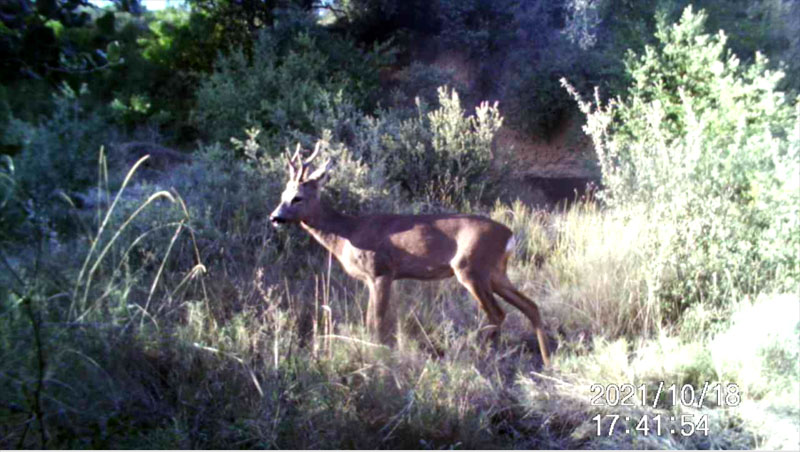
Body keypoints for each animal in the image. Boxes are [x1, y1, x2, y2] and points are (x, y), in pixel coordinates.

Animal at [268, 145, 552, 368]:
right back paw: (547, 360)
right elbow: (369, 319)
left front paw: (377, 357)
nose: (274, 217)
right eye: (282, 195)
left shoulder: (381, 271)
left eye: (297, 197)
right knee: (529, 306)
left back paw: (476, 352)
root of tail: (509, 235)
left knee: (497, 314)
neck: (347, 233)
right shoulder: (371, 279)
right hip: (496, 272)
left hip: (471, 268)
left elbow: (377, 321)